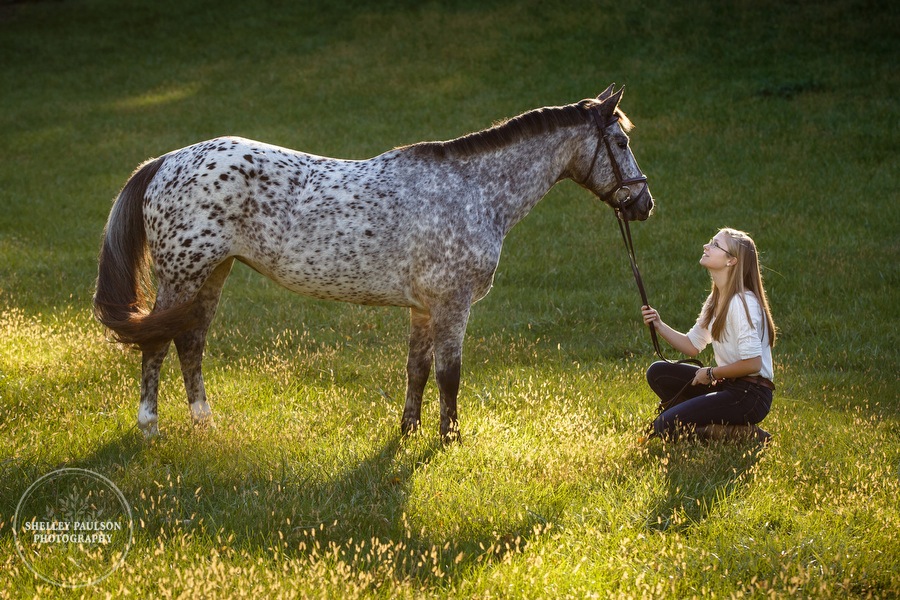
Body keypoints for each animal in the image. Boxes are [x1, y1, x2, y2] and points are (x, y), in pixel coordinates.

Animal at [93, 84, 652, 440]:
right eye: (621, 141)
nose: (644, 205)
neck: (472, 192)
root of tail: (164, 162)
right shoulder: (452, 305)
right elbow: (450, 374)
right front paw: (449, 439)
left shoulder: (424, 308)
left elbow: (418, 371)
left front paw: (408, 430)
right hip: (182, 277)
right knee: (156, 346)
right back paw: (150, 427)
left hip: (212, 275)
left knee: (189, 343)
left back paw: (203, 422)